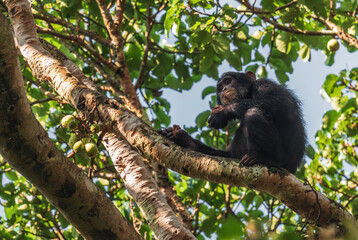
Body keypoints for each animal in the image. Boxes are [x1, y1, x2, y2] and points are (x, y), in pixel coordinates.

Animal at [158, 71, 306, 172]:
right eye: (219, 88)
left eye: (228, 81)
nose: (224, 89)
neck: (248, 94)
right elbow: (232, 155)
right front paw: (181, 137)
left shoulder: (264, 85)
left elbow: (280, 101)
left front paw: (223, 112)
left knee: (253, 113)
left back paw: (268, 158)